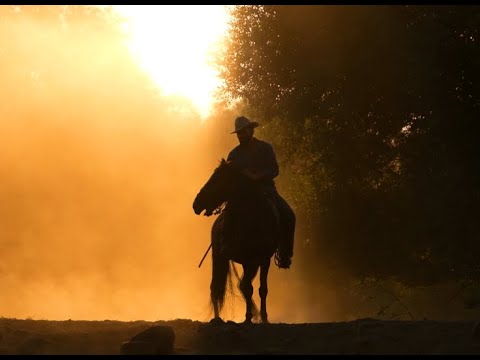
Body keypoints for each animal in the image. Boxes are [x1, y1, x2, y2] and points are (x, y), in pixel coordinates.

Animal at [192, 158, 282, 324]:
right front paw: (248, 318)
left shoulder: (262, 259)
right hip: (219, 257)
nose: (196, 204)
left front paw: (263, 318)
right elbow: (247, 288)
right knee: (216, 286)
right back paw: (217, 318)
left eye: (217, 180)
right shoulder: (248, 260)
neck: (252, 219)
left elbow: (261, 289)